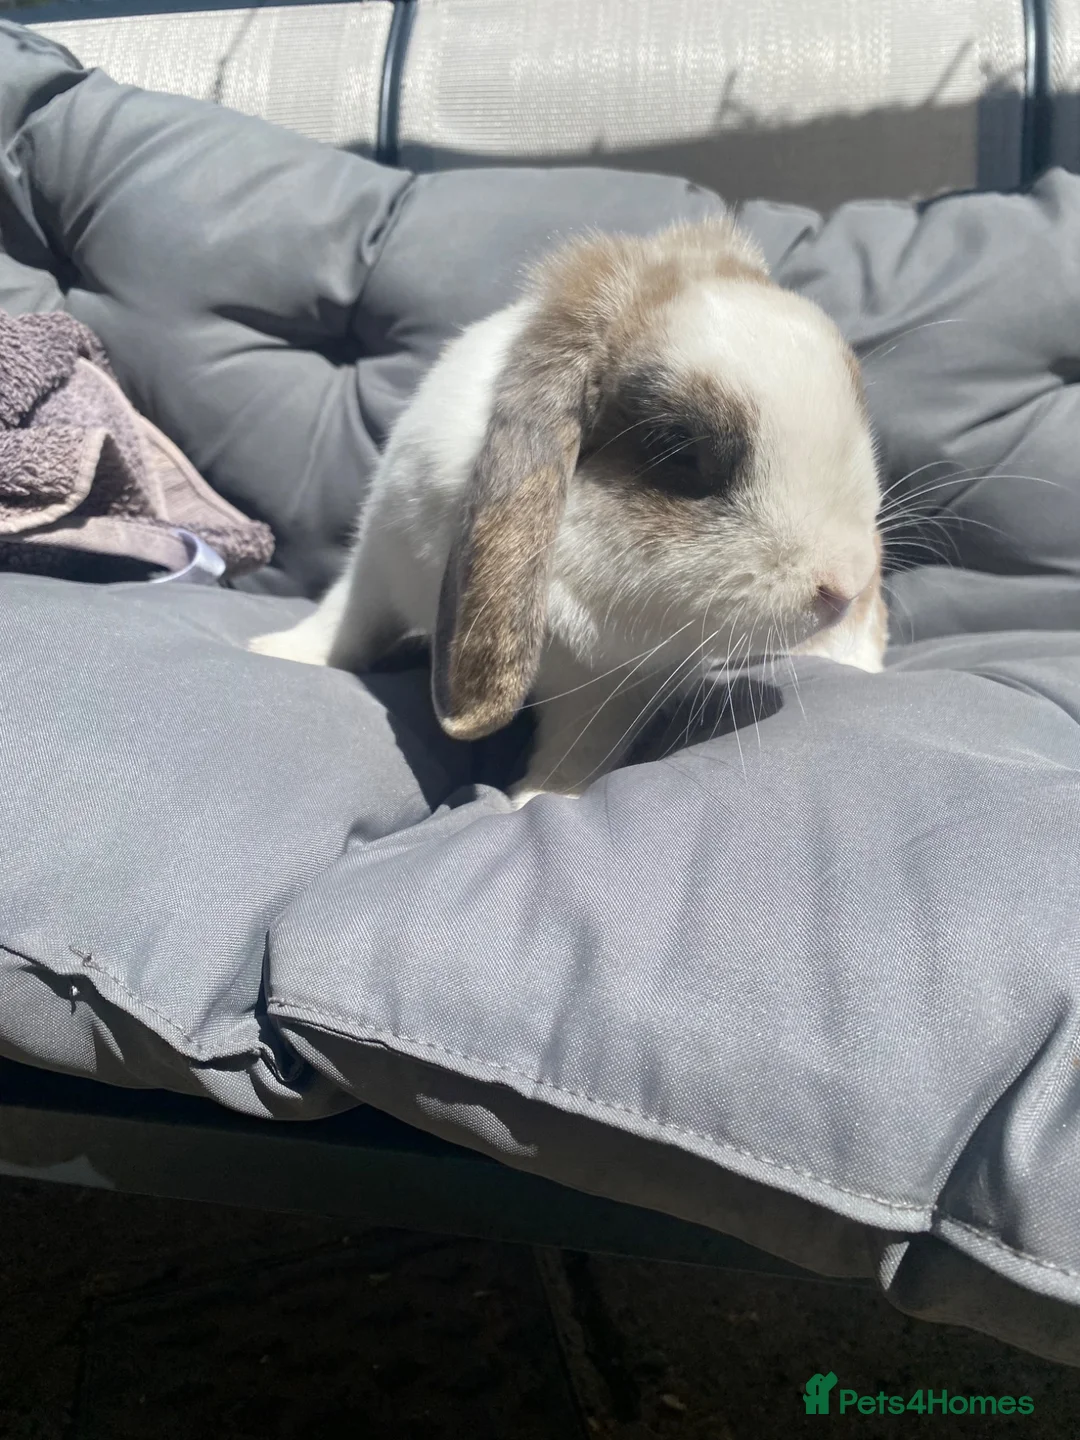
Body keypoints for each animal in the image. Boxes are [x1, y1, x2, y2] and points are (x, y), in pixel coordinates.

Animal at [250, 217, 887, 804]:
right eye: (677, 452)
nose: (844, 586)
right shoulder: (378, 563)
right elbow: (343, 624)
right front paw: (273, 650)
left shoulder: (611, 690)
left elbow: (576, 751)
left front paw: (532, 799)